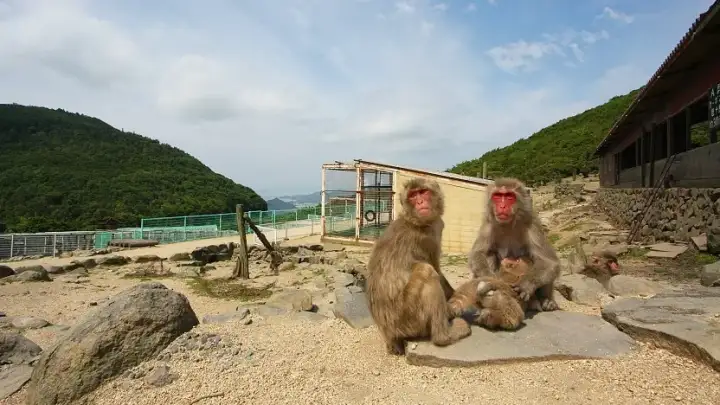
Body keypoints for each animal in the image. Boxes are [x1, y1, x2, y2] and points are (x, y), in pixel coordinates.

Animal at [366, 177, 471, 355]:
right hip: (407, 318)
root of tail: (388, 334)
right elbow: (435, 269)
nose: (420, 201)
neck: (416, 221)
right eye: (413, 196)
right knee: (426, 270)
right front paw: (452, 308)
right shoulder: (427, 239)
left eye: (423, 192)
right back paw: (444, 335)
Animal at [467, 177, 561, 313]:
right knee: (489, 254)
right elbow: (478, 253)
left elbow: (549, 262)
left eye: (509, 196)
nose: (502, 206)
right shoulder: (488, 224)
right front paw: (490, 279)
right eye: (497, 196)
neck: (508, 223)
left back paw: (547, 301)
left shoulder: (532, 224)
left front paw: (525, 285)